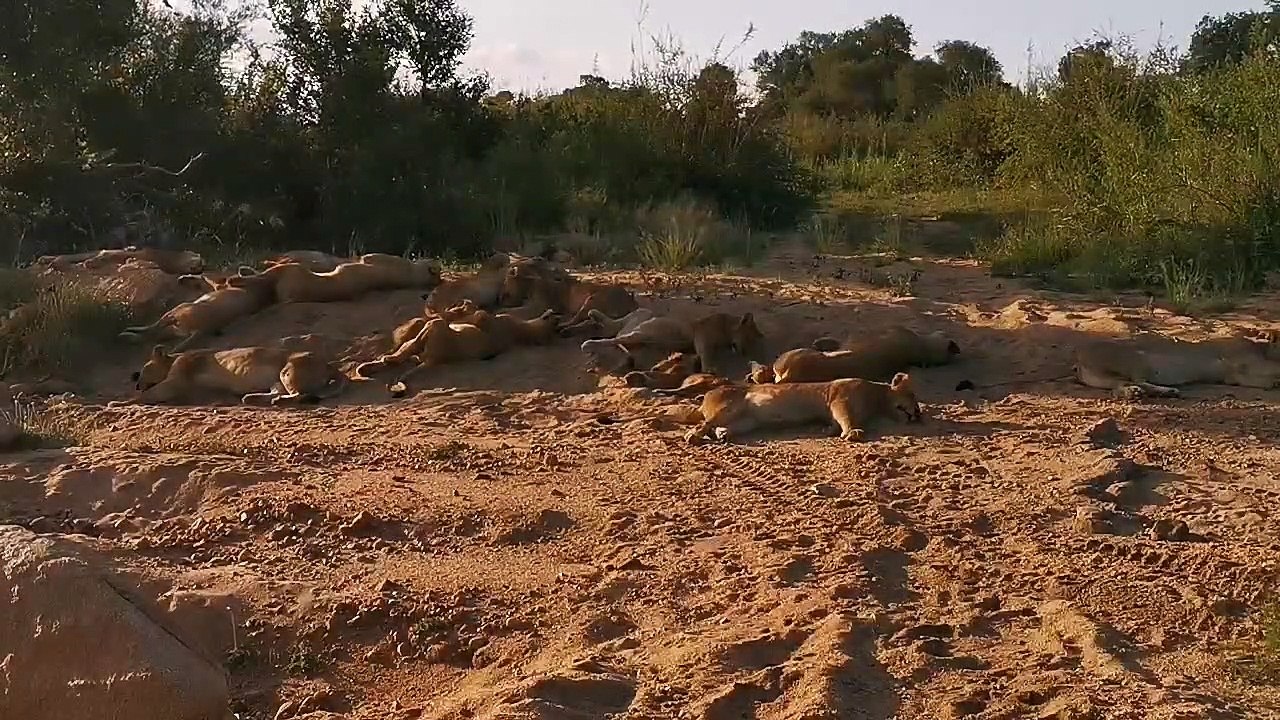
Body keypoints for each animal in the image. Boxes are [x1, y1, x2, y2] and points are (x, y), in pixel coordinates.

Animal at [119, 273, 277, 350]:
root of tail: (201, 329)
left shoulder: (219, 286)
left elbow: (205, 278)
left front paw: (186, 278)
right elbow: (205, 279)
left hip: (178, 310)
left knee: (153, 329)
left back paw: (129, 332)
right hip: (174, 328)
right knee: (152, 335)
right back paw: (129, 336)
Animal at [130, 344, 348, 405]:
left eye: (143, 370)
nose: (136, 384)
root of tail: (329, 364)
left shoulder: (175, 381)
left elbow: (148, 394)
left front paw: (127, 401)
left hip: (287, 371)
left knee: (299, 395)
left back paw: (275, 401)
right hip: (277, 379)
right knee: (278, 392)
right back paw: (250, 397)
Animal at [580, 311, 763, 375]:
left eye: (752, 341)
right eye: (748, 338)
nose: (745, 352)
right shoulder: (701, 337)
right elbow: (706, 353)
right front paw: (710, 368)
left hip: (635, 333)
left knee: (617, 336)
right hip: (638, 332)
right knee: (614, 338)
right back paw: (588, 344)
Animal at [683, 372, 923, 444]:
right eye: (912, 395)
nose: (918, 415)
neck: (876, 399)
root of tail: (707, 395)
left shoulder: (833, 410)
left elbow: (835, 422)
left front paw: (828, 430)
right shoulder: (840, 401)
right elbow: (847, 418)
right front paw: (853, 432)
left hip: (746, 422)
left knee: (719, 427)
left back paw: (723, 435)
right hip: (728, 407)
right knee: (704, 423)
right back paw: (693, 436)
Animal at [1074, 330, 1280, 399]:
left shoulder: (1237, 376)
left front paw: (1274, 383)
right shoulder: (1245, 363)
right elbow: (1273, 371)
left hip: (1113, 376)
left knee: (1119, 386)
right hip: (1137, 358)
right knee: (1137, 381)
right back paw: (1163, 391)